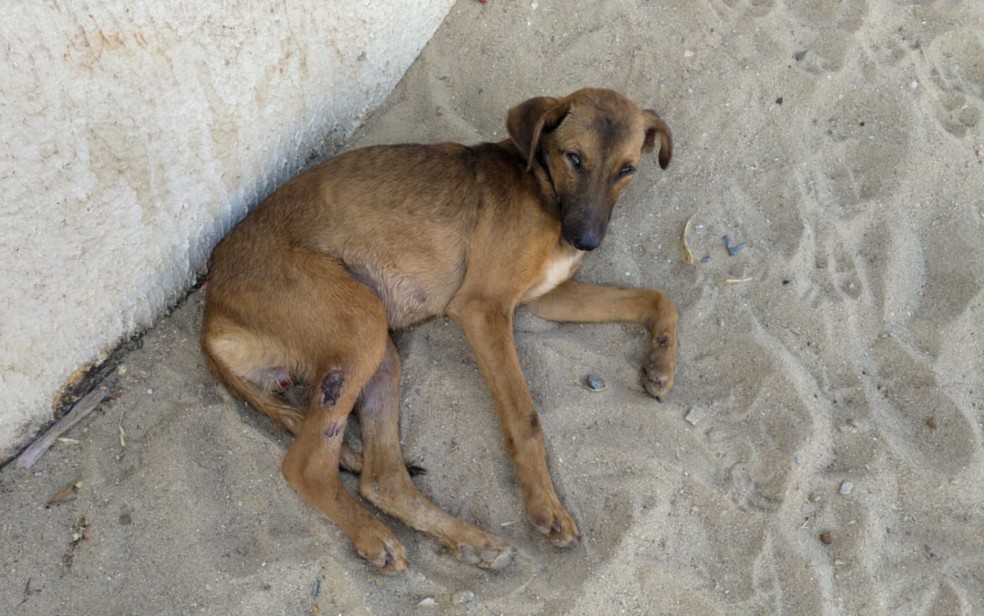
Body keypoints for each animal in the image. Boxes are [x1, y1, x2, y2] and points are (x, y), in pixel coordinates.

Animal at [200, 86, 676, 572]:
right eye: (574, 157)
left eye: (627, 169)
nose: (585, 241)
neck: (543, 185)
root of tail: (211, 315)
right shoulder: (483, 309)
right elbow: (525, 417)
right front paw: (545, 508)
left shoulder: (546, 297)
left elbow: (656, 297)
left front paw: (661, 364)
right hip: (360, 326)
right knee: (308, 467)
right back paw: (374, 535)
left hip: (379, 354)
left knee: (383, 479)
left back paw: (471, 541)